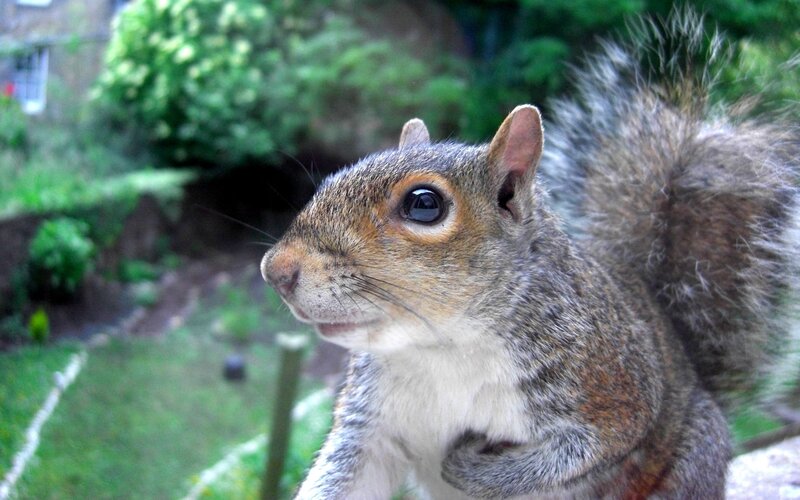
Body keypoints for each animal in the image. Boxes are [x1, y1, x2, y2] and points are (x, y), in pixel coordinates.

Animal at [261, 9, 799, 500]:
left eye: (424, 204)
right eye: (332, 177)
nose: (276, 271)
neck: (443, 346)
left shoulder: (612, 391)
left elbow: (587, 447)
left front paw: (475, 469)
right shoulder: (372, 426)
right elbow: (344, 475)